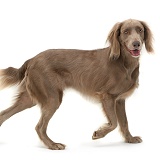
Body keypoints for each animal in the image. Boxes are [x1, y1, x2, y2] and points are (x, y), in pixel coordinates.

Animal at [0, 19, 154, 150]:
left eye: (140, 30)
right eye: (126, 32)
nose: (136, 44)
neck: (124, 63)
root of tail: (32, 59)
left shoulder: (120, 100)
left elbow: (124, 122)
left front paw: (130, 139)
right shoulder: (107, 96)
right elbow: (114, 122)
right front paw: (98, 134)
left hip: (30, 98)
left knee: (4, 114)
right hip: (52, 98)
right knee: (39, 126)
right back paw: (53, 145)